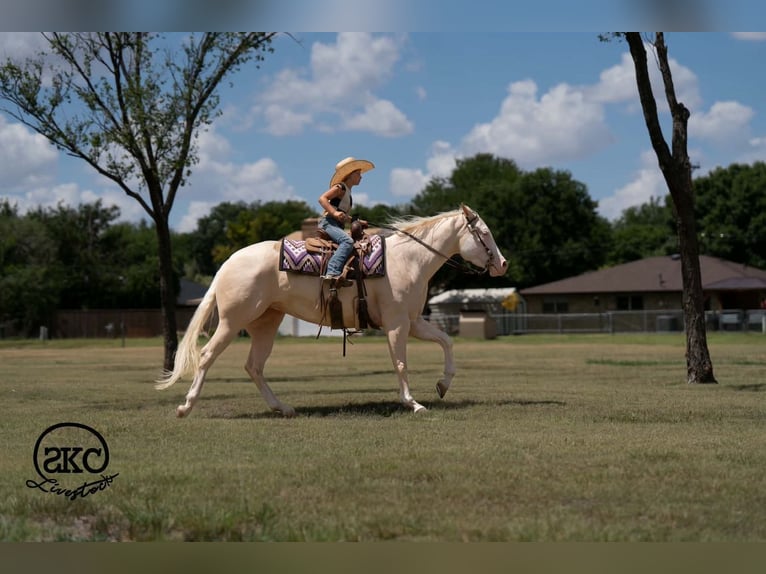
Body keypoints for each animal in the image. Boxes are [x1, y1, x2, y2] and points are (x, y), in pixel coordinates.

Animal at [156, 204, 508, 416]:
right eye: (484, 234)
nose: (503, 264)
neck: (408, 260)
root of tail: (228, 262)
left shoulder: (413, 322)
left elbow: (446, 342)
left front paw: (443, 385)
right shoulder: (396, 324)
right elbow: (401, 363)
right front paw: (414, 403)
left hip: (265, 324)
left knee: (254, 366)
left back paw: (282, 407)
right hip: (232, 322)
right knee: (206, 356)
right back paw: (186, 407)